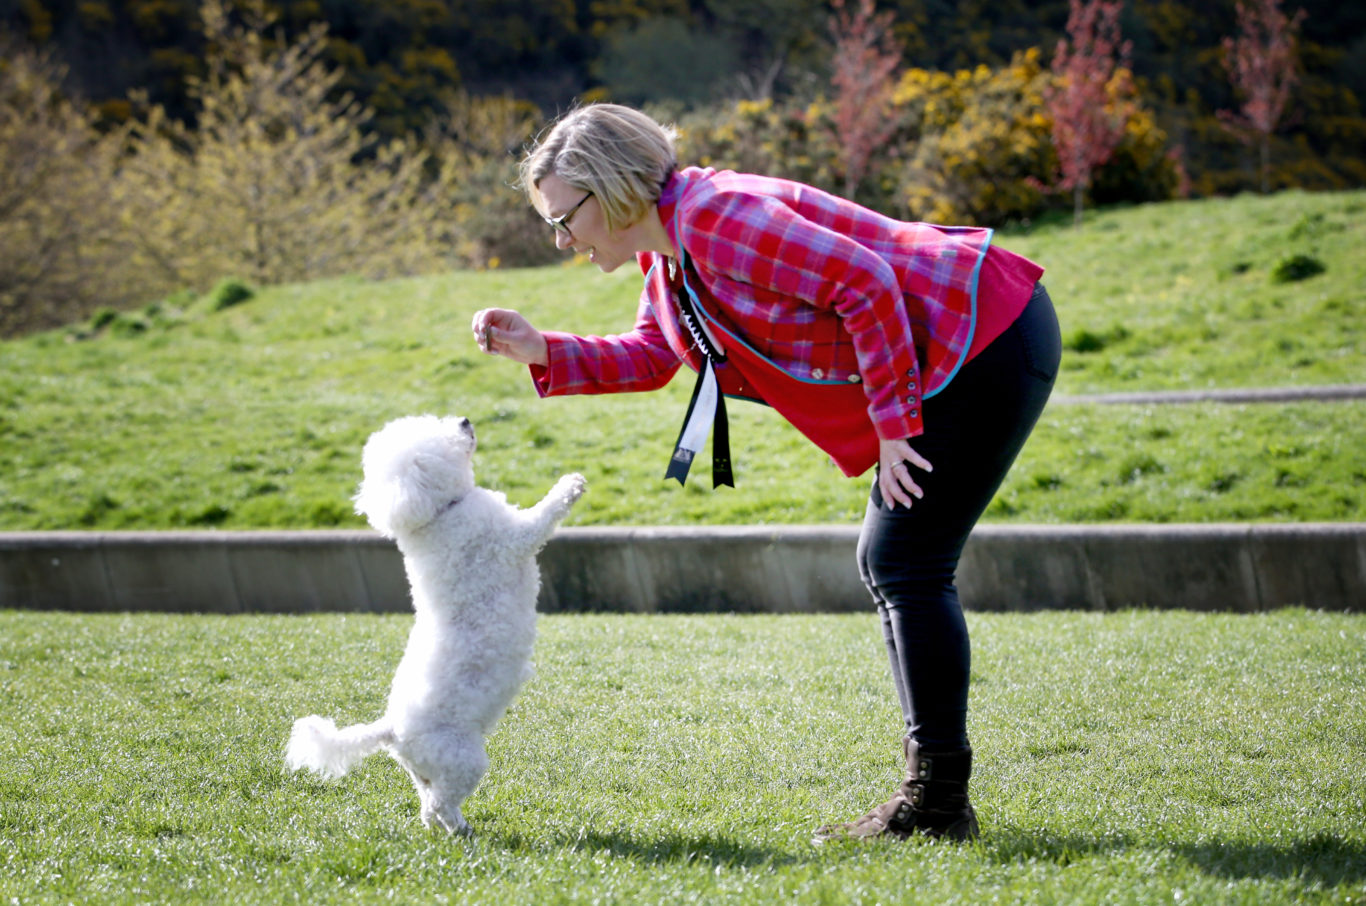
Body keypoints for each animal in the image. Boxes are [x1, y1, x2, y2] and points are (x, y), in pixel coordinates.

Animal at [285, 415, 584, 830]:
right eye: (439, 443)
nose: (465, 420)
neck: (438, 514)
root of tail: (391, 729)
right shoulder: (512, 539)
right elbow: (542, 516)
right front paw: (570, 484)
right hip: (462, 758)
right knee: (441, 803)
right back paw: (460, 829)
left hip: (425, 772)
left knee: (429, 804)